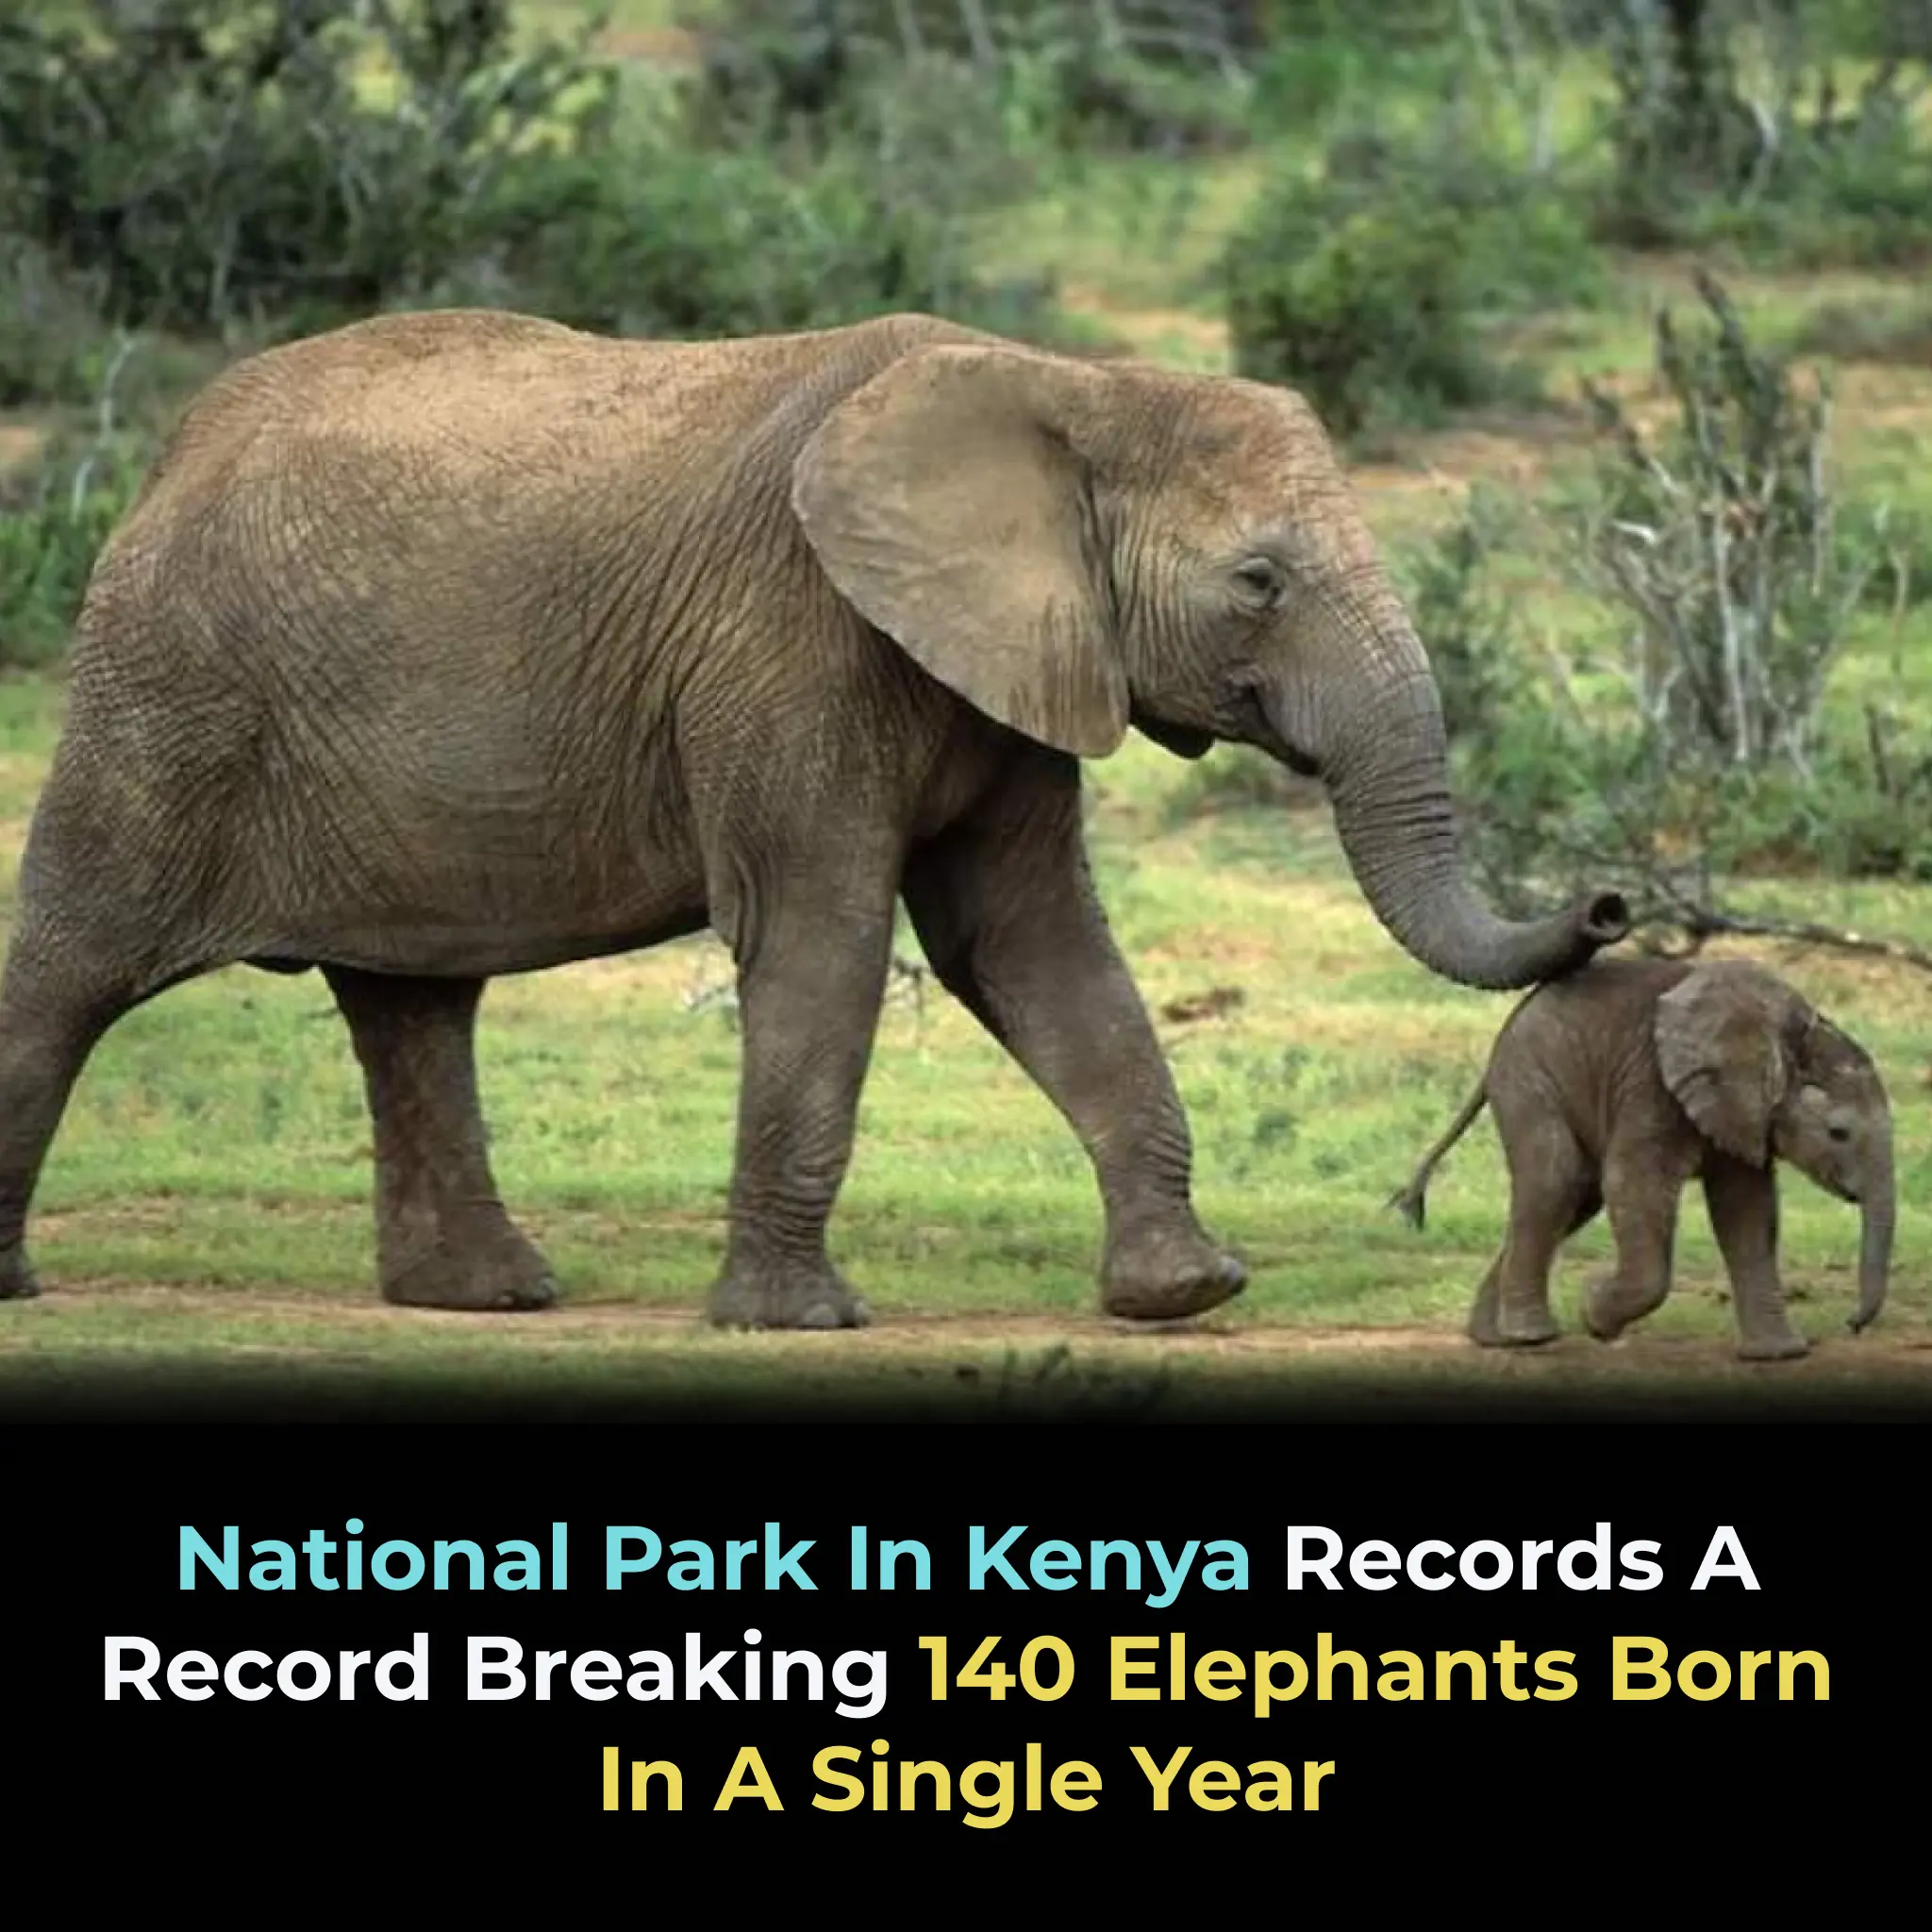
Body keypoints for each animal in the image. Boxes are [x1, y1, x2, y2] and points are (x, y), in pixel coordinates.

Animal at [0, 308, 1632, 1330]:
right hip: (166, 693)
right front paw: (797, 1321)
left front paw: (1186, 1292)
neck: (1061, 386)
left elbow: (1030, 946)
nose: (1614, 906)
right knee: (75, 964)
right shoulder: (793, 640)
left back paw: (490, 1298)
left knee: (414, 1004)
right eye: (1259, 583)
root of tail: (167, 455)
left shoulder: (1005, 656)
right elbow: (825, 938)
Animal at [1389, 956, 1895, 1360]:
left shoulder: (1738, 1110)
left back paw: (1493, 1338)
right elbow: (1633, 1183)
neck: (1789, 1035)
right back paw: (1531, 1337)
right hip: (1529, 1077)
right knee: (1556, 1180)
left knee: (1575, 1197)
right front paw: (1594, 1316)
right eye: (1838, 1133)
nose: (1851, 1325)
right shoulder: (1652, 1084)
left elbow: (1747, 1210)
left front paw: (1779, 1356)